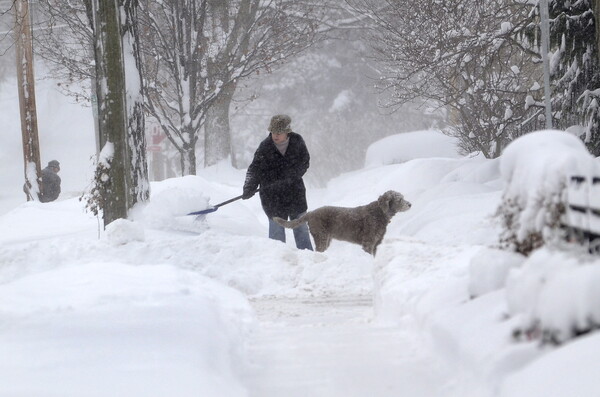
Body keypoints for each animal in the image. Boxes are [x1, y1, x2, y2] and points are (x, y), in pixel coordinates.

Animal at [274, 190, 410, 255]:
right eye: (399, 199)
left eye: (403, 197)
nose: (410, 204)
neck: (379, 213)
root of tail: (311, 213)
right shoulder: (368, 241)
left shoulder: (377, 242)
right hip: (321, 236)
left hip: (326, 238)